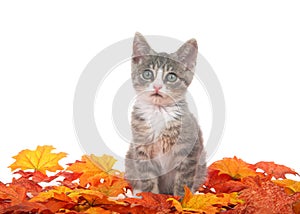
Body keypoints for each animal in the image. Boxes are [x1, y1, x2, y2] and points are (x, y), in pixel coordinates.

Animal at [124, 32, 206, 196]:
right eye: (147, 74)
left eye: (171, 76)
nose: (157, 86)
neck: (159, 111)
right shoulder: (141, 148)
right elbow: (148, 179)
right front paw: (151, 198)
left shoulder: (189, 150)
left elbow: (183, 181)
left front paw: (182, 200)